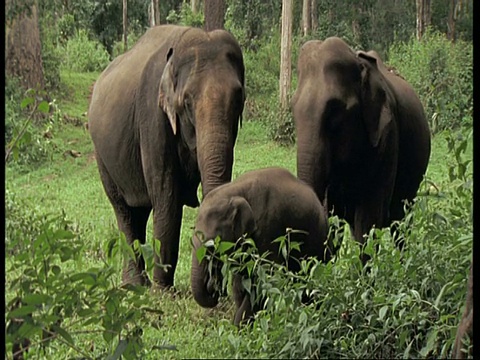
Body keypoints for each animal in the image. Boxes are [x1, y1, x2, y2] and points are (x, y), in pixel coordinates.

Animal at [88, 25, 246, 288]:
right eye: (187, 102)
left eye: (238, 99)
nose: (215, 287)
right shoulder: (152, 114)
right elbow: (166, 193)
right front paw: (163, 290)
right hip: (101, 156)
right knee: (124, 211)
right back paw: (134, 285)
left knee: (139, 212)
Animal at [189, 167, 332, 324]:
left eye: (212, 246)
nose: (212, 284)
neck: (234, 191)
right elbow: (240, 282)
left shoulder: (269, 228)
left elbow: (266, 279)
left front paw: (238, 326)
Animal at [292, 38, 432, 262]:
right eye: (293, 109)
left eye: (335, 112)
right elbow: (334, 221)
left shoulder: (388, 136)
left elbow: (368, 222)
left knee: (400, 222)